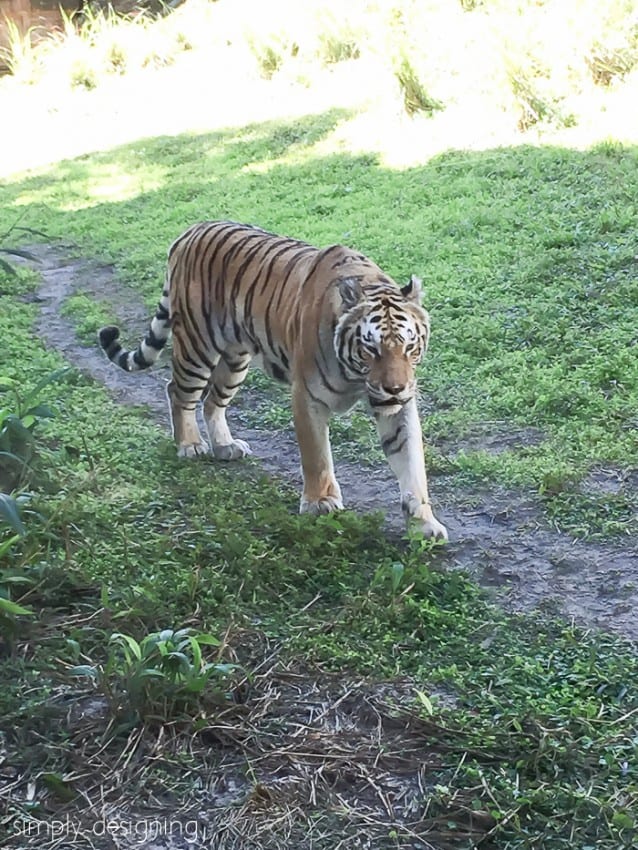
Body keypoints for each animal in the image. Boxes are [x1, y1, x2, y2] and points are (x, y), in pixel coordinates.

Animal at [100, 219, 450, 536]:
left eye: (409, 347)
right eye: (370, 349)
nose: (395, 389)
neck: (355, 374)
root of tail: (190, 231)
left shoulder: (398, 407)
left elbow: (411, 461)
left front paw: (424, 523)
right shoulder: (307, 396)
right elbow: (316, 456)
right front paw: (320, 503)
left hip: (235, 360)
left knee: (213, 401)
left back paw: (225, 446)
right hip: (196, 346)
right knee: (178, 391)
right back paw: (190, 445)